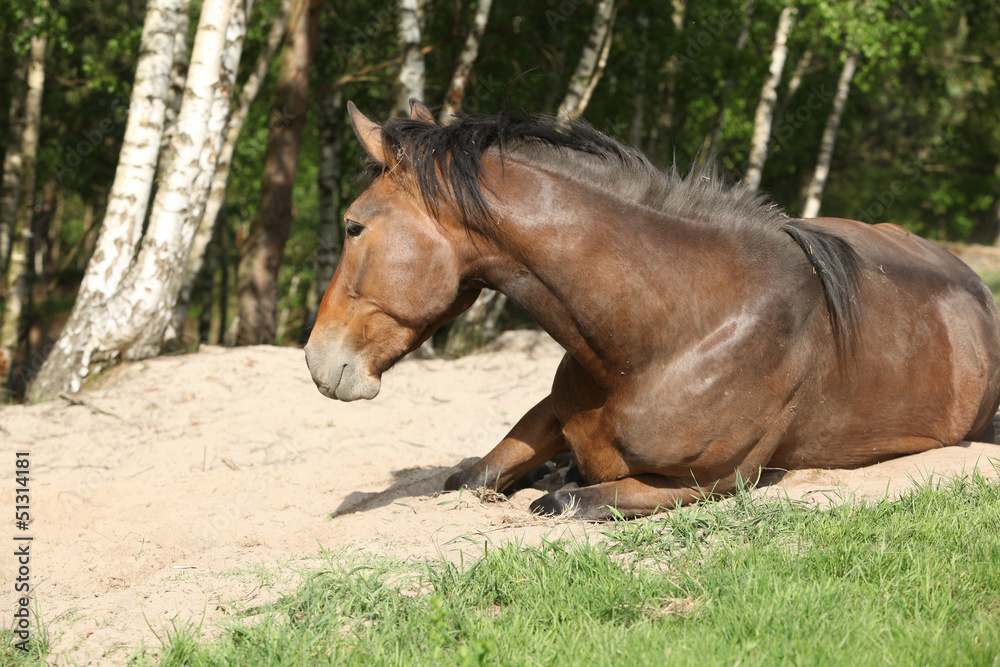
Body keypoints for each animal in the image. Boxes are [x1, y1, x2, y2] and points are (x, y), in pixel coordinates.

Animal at [304, 99, 1000, 520]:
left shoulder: (713, 483)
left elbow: (564, 502)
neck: (676, 334)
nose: (316, 360)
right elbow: (474, 476)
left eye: (354, 226)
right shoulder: (550, 416)